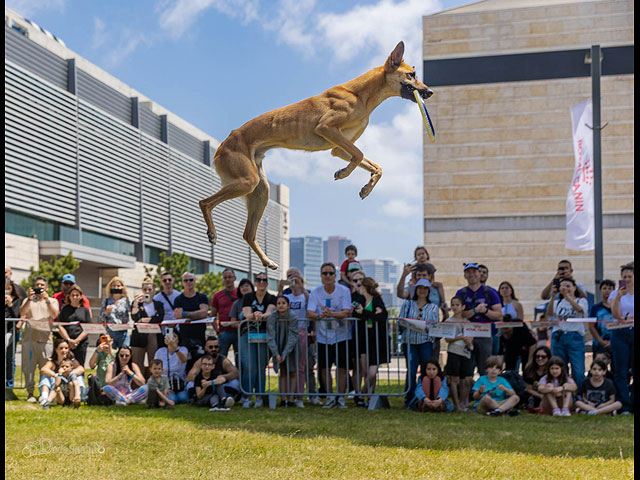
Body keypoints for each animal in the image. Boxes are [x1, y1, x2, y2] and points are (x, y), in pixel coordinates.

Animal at [199, 41, 430, 270]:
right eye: (411, 75)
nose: (429, 92)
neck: (361, 93)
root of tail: (222, 145)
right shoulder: (326, 128)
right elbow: (358, 154)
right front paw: (343, 173)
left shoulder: (339, 147)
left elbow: (374, 165)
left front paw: (366, 187)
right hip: (247, 180)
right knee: (205, 202)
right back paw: (212, 233)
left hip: (260, 189)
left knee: (248, 233)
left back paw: (266, 261)